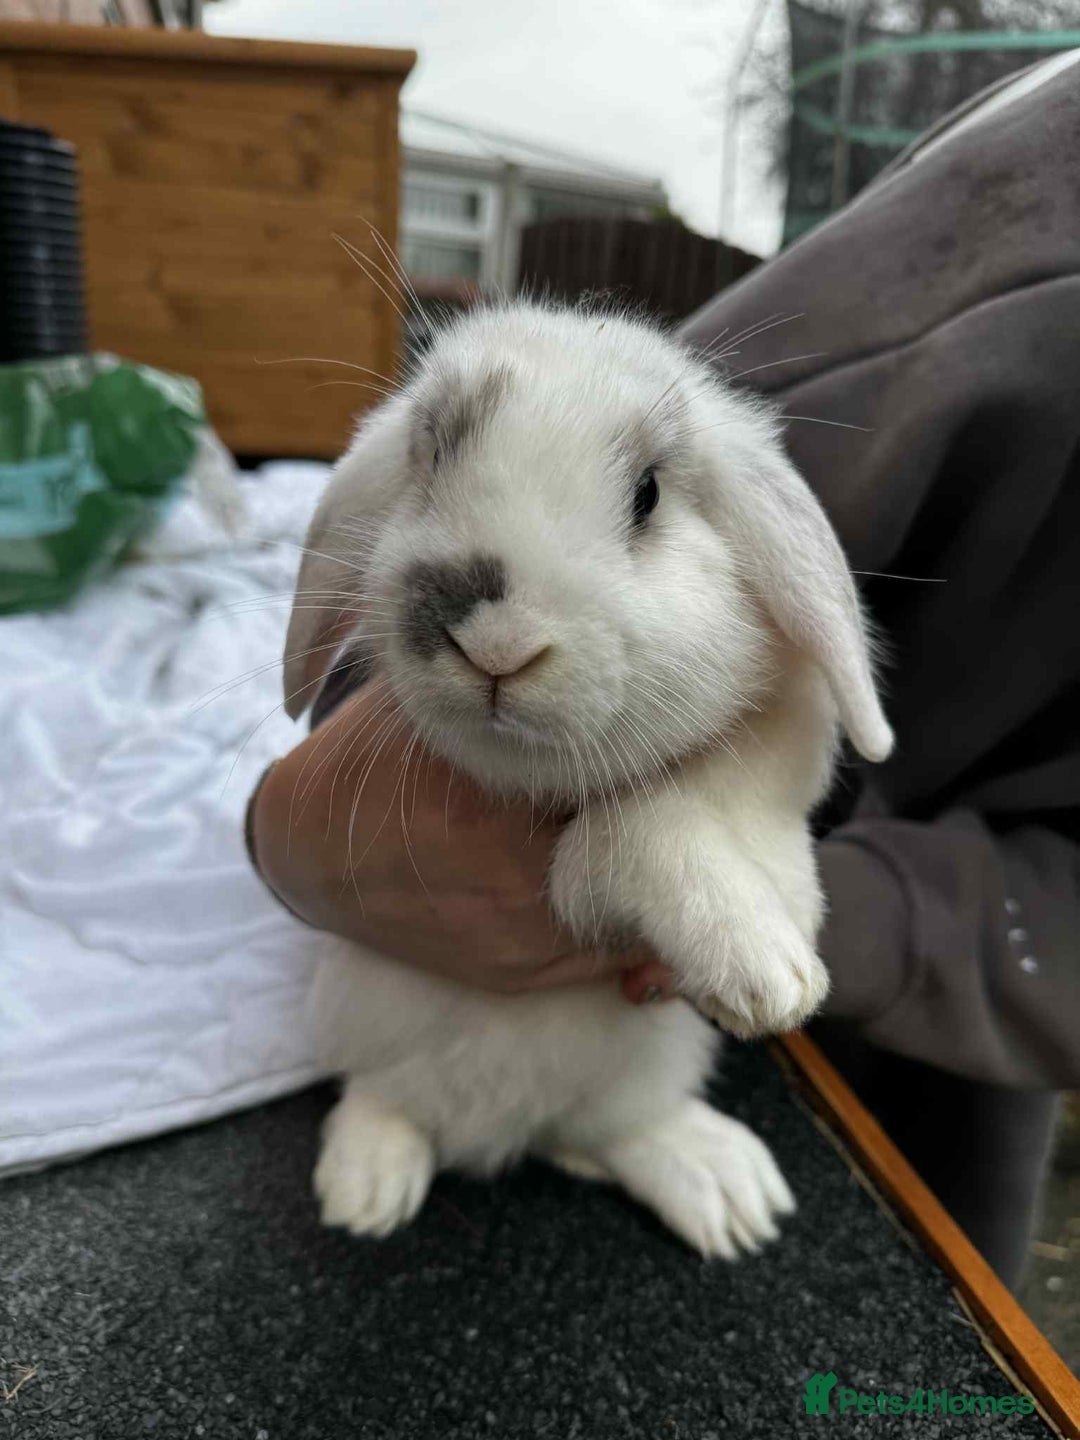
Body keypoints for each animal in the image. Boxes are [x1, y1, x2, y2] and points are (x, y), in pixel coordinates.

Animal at [279, 300, 892, 1258]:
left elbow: (702, 811)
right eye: (433, 455)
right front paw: (763, 970)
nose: (493, 644)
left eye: (647, 494)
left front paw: (777, 950)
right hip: (355, 1014)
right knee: (383, 1099)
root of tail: (504, 1133)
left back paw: (728, 1195)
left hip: (648, 1065)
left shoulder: (782, 742)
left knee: (614, 1133)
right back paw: (367, 1187)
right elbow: (633, 832)